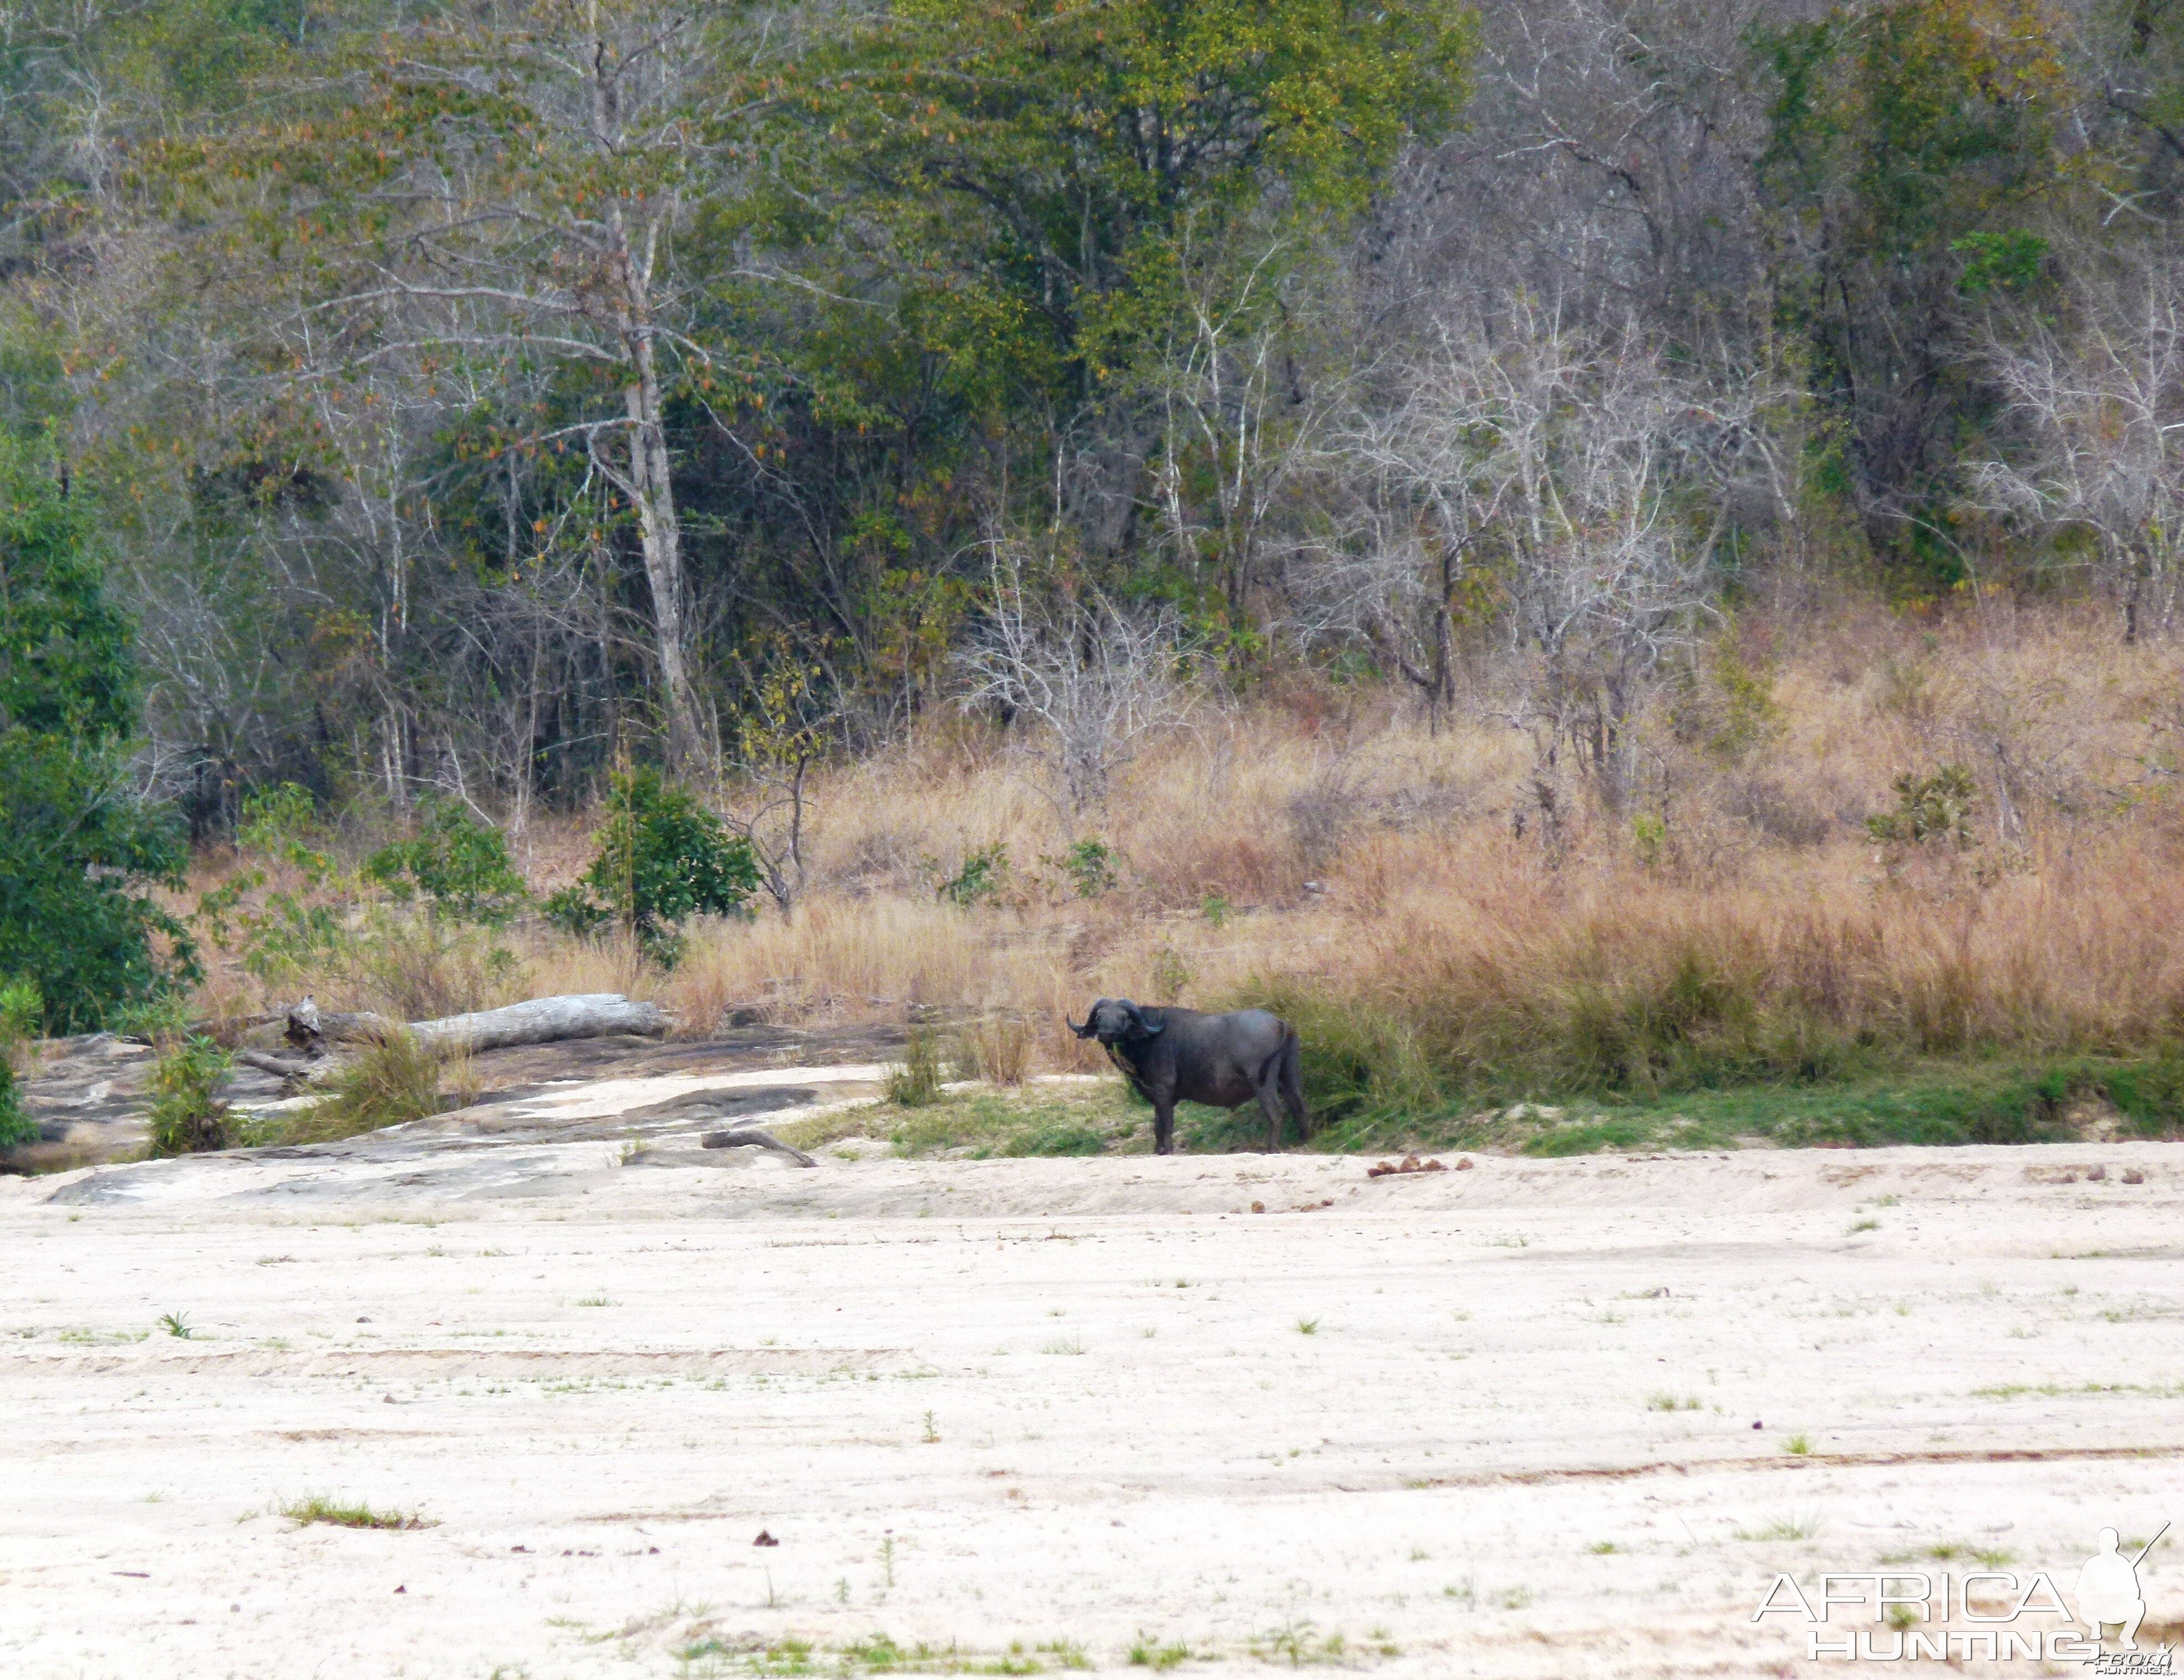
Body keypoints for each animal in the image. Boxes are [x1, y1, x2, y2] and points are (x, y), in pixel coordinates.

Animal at [1066, 996, 1301, 1153]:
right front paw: (1158, 1151)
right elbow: (1157, 1125)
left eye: (1123, 1017)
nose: (1106, 1033)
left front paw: (1167, 1150)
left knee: (1276, 1112)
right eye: (1099, 1016)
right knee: (1298, 1105)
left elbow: (1166, 1124)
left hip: (1262, 1082)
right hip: (1289, 1078)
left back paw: (1271, 1149)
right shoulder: (1156, 1096)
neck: (1147, 1040)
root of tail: (1280, 1023)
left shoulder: (1164, 1091)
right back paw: (1304, 1138)